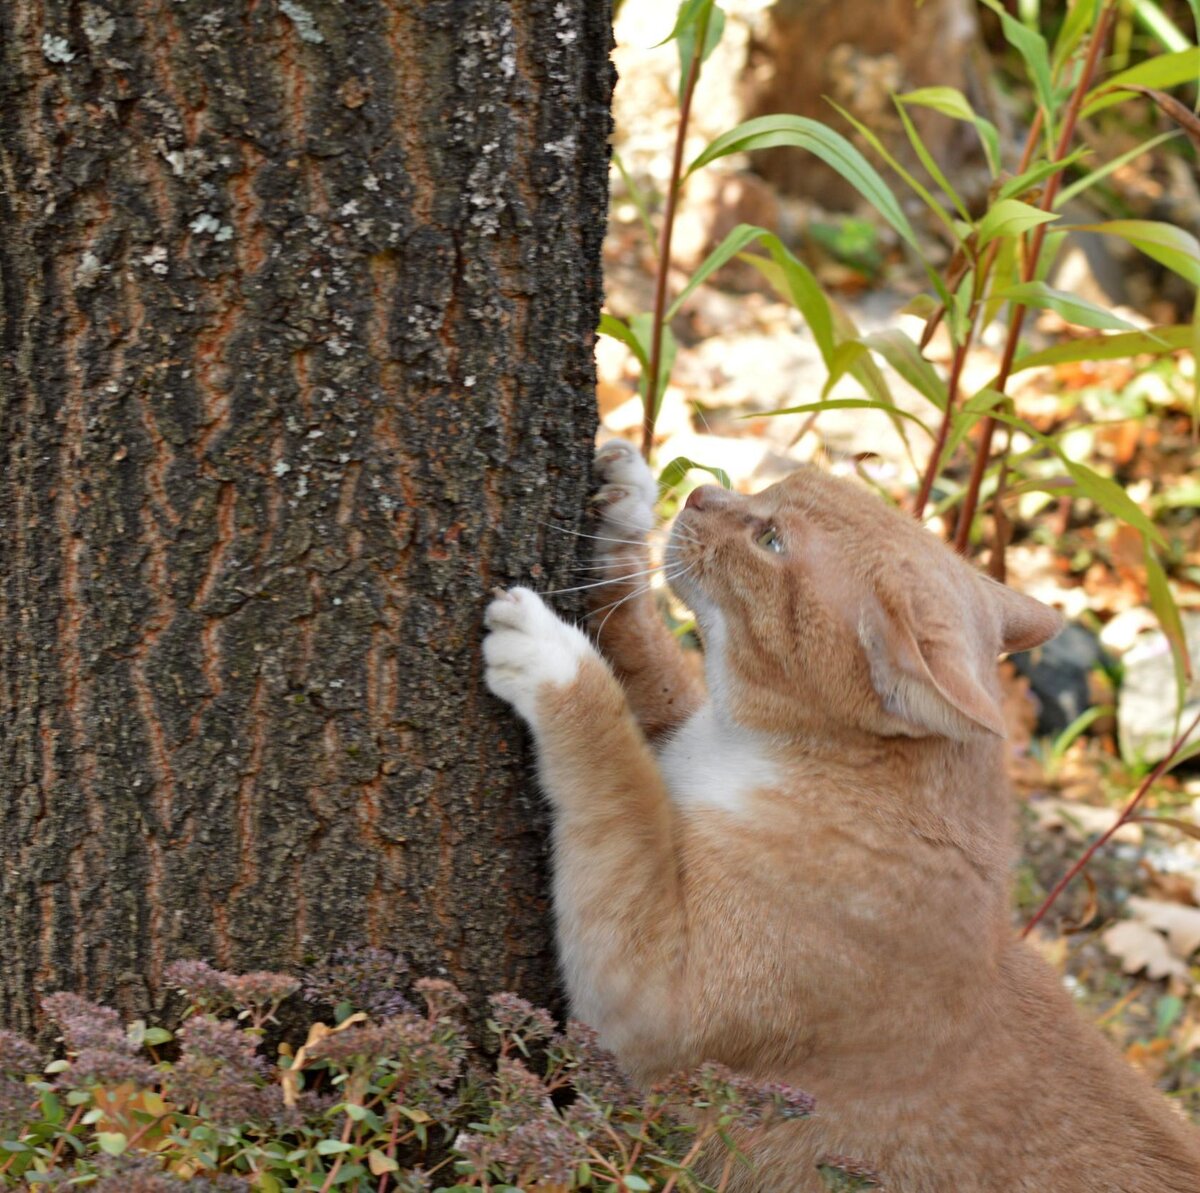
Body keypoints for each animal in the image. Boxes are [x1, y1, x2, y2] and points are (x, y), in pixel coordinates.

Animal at [480, 441, 1200, 1185]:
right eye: (772, 490)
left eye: (771, 540)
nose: (702, 495)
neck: (747, 750)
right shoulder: (679, 725)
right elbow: (642, 650)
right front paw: (627, 506)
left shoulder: (651, 995)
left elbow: (619, 781)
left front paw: (551, 656)